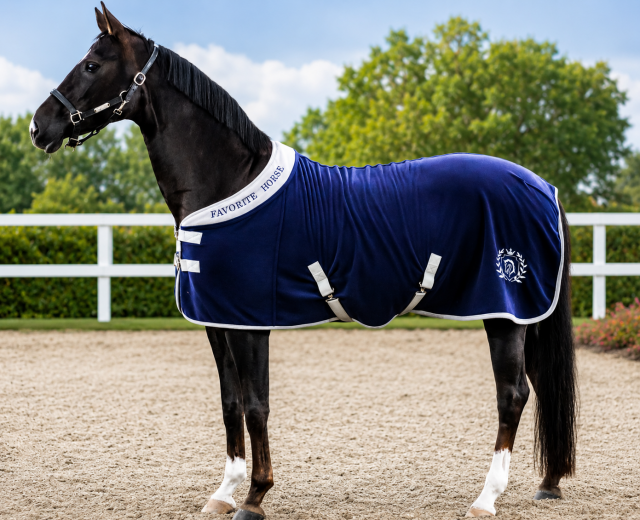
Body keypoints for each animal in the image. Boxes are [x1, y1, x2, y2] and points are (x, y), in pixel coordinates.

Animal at [30, 4, 577, 518]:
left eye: (92, 64)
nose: (39, 127)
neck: (226, 182)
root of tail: (541, 185)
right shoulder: (218, 320)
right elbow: (230, 402)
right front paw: (223, 492)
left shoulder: (251, 322)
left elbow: (256, 405)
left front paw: (255, 496)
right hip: (522, 315)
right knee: (540, 388)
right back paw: (547, 484)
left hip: (504, 313)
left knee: (513, 394)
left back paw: (486, 498)